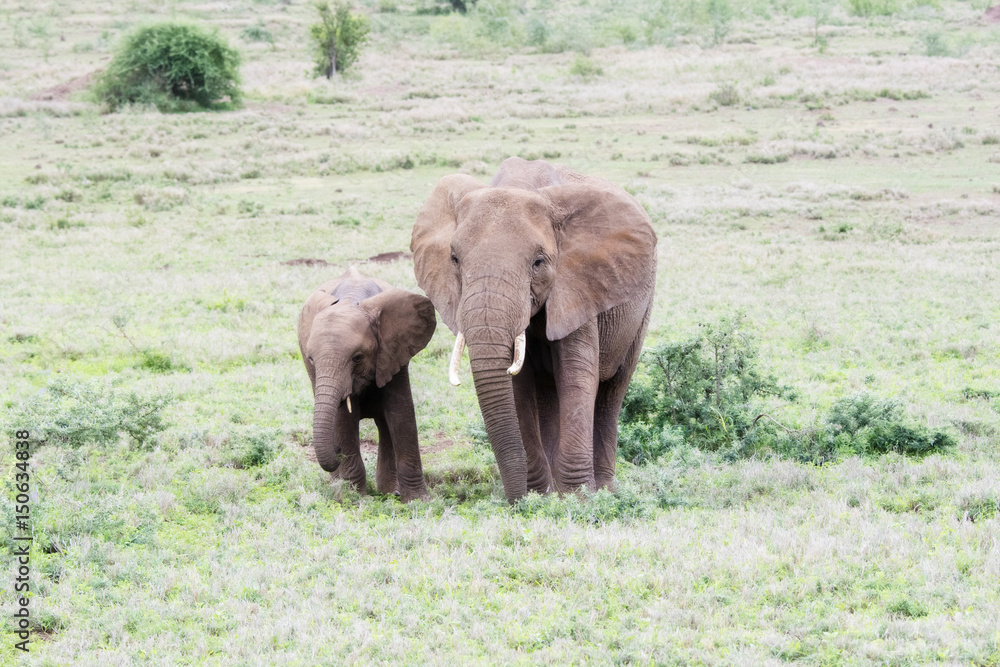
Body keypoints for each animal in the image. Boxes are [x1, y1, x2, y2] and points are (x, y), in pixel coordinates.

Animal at [298, 266, 436, 502]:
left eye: (357, 357)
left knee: (384, 423)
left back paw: (390, 492)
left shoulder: (393, 351)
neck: (352, 298)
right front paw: (355, 499)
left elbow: (401, 413)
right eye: (311, 359)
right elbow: (344, 419)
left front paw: (418, 501)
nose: (336, 451)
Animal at [411, 157, 657, 503]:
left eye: (538, 262)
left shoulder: (577, 284)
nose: (513, 501)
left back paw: (606, 491)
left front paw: (578, 499)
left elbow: (577, 375)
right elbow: (519, 387)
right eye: (454, 259)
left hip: (641, 309)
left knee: (612, 392)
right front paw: (540, 497)